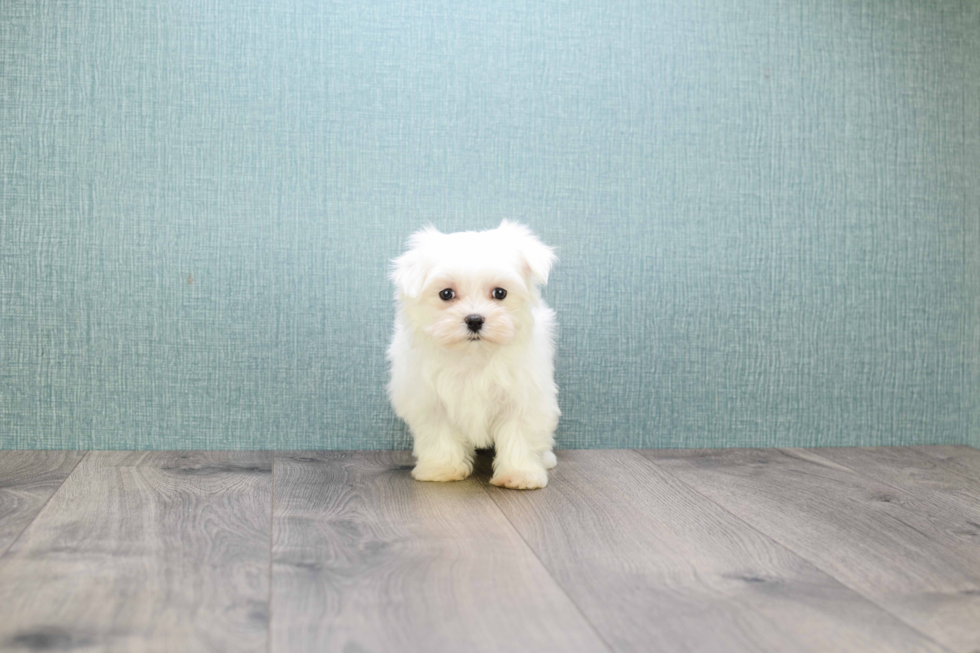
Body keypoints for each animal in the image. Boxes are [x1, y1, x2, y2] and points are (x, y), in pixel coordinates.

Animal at [388, 222, 564, 486]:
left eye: (500, 293)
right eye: (446, 294)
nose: (474, 319)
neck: (473, 355)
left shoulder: (524, 395)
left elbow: (519, 433)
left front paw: (520, 474)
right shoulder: (430, 401)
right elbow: (439, 434)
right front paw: (442, 469)